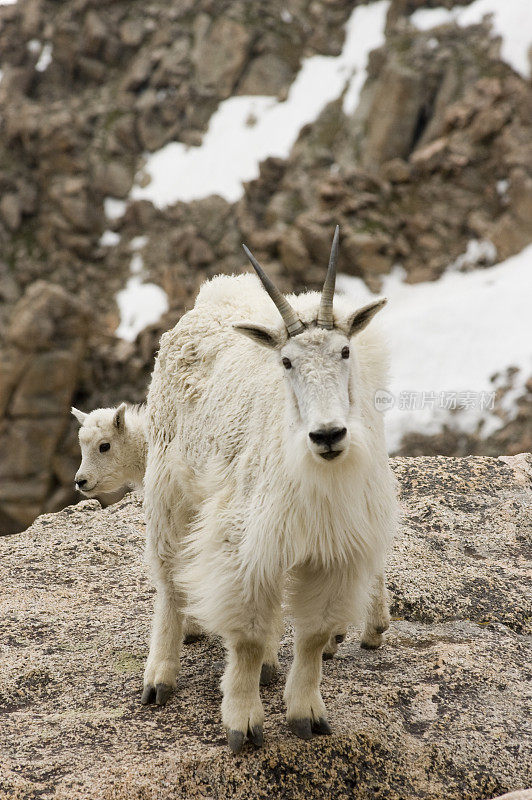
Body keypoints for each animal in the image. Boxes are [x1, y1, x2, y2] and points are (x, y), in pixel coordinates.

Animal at [143, 228, 396, 752]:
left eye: (345, 352)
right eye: (286, 361)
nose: (328, 435)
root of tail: (212, 294)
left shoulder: (334, 547)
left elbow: (314, 635)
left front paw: (307, 715)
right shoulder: (244, 541)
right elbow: (248, 636)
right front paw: (243, 724)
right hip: (166, 487)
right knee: (168, 577)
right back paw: (159, 676)